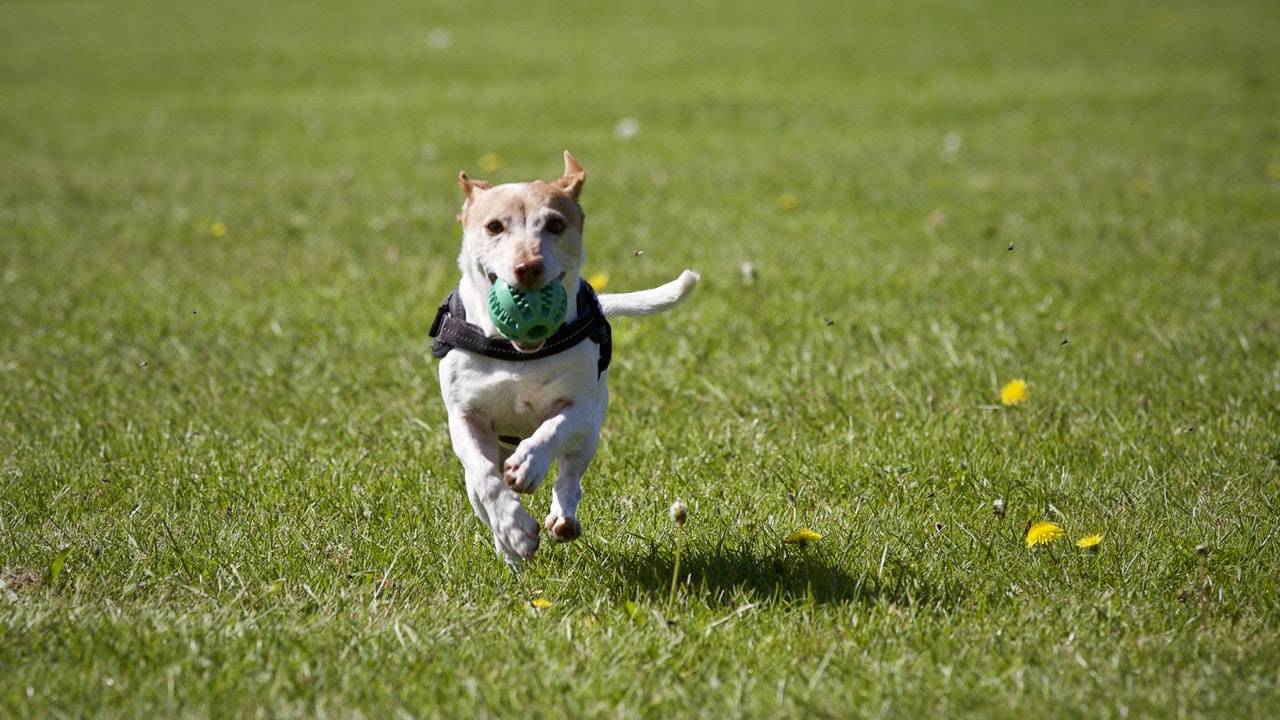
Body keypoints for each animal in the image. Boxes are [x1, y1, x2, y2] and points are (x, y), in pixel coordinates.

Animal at [432, 152, 701, 566]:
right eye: (494, 226)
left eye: (555, 224)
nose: (528, 267)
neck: (517, 354)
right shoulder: (464, 418)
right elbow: (486, 478)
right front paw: (515, 529)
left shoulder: (581, 408)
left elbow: (552, 430)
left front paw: (528, 465)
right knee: (481, 492)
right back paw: (510, 552)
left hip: (590, 434)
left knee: (571, 474)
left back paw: (562, 516)